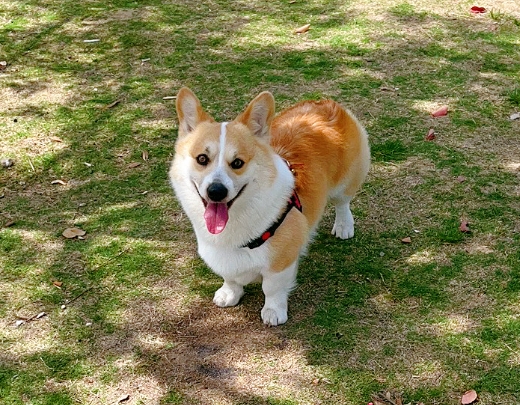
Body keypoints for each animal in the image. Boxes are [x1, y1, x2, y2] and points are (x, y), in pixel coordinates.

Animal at [170, 87, 370, 326]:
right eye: (202, 159)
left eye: (237, 163)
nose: (216, 191)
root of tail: (326, 103)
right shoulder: (221, 256)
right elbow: (230, 277)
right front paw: (229, 293)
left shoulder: (281, 261)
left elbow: (272, 288)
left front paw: (274, 311)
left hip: (345, 181)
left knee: (343, 202)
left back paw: (343, 226)